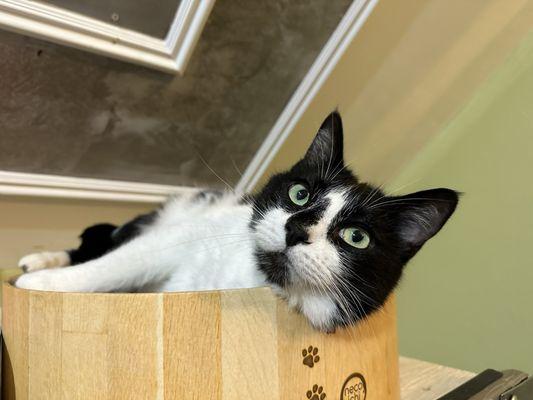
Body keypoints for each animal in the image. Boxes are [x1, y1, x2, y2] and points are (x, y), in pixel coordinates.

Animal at [14, 112, 460, 332]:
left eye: (356, 237)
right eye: (300, 194)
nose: (296, 229)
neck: (246, 277)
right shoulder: (185, 234)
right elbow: (116, 265)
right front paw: (43, 285)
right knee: (101, 244)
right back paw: (39, 262)